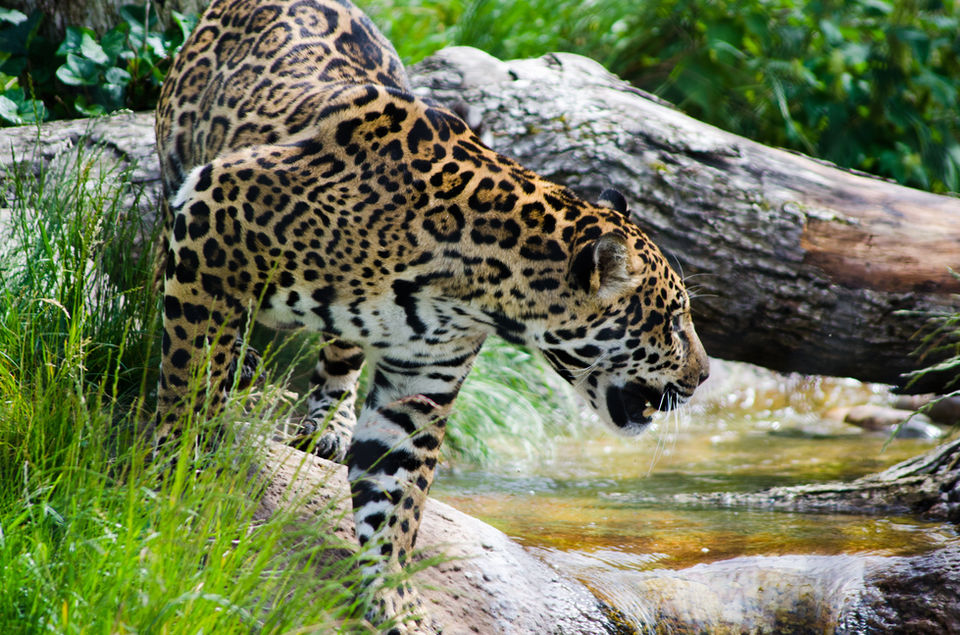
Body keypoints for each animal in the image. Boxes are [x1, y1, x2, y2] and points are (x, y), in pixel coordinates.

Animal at [153, 0, 709, 631]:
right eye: (672, 320)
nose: (705, 375)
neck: (473, 284)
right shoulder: (215, 215)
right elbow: (190, 381)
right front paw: (176, 480)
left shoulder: (419, 382)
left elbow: (396, 497)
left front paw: (395, 599)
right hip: (180, 175)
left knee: (339, 356)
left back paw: (328, 422)